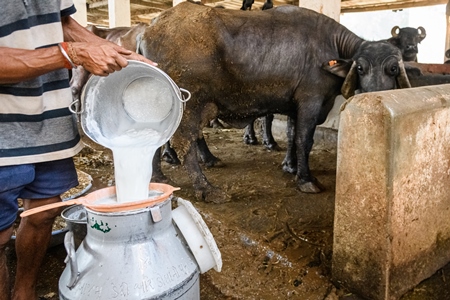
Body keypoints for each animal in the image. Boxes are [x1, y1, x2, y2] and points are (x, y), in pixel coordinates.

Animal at [138, 2, 412, 203]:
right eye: (361, 67)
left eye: (393, 68)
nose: (374, 94)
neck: (329, 46)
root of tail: (149, 30)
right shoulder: (311, 101)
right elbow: (304, 139)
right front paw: (305, 179)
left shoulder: (294, 105)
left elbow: (291, 135)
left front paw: (290, 166)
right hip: (190, 103)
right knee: (185, 141)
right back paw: (206, 188)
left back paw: (159, 177)